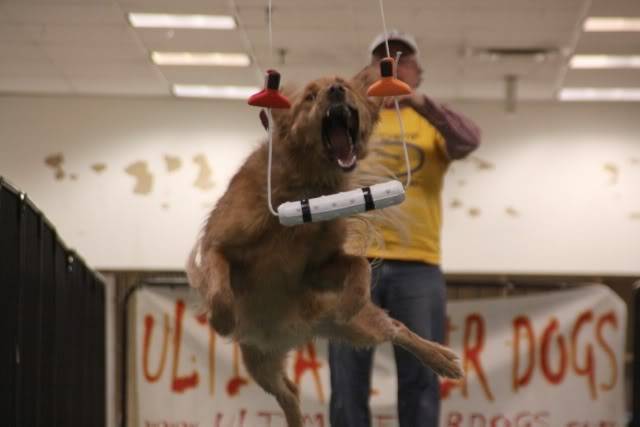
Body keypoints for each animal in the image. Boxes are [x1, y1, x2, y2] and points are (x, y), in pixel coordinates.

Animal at [188, 67, 462, 427]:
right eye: (309, 96)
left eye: (344, 85)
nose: (335, 91)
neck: (307, 186)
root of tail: (296, 334)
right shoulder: (218, 246)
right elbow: (219, 284)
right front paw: (221, 318)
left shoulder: (317, 269)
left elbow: (358, 266)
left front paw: (353, 298)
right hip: (258, 359)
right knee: (289, 392)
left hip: (357, 329)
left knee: (396, 327)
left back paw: (442, 358)